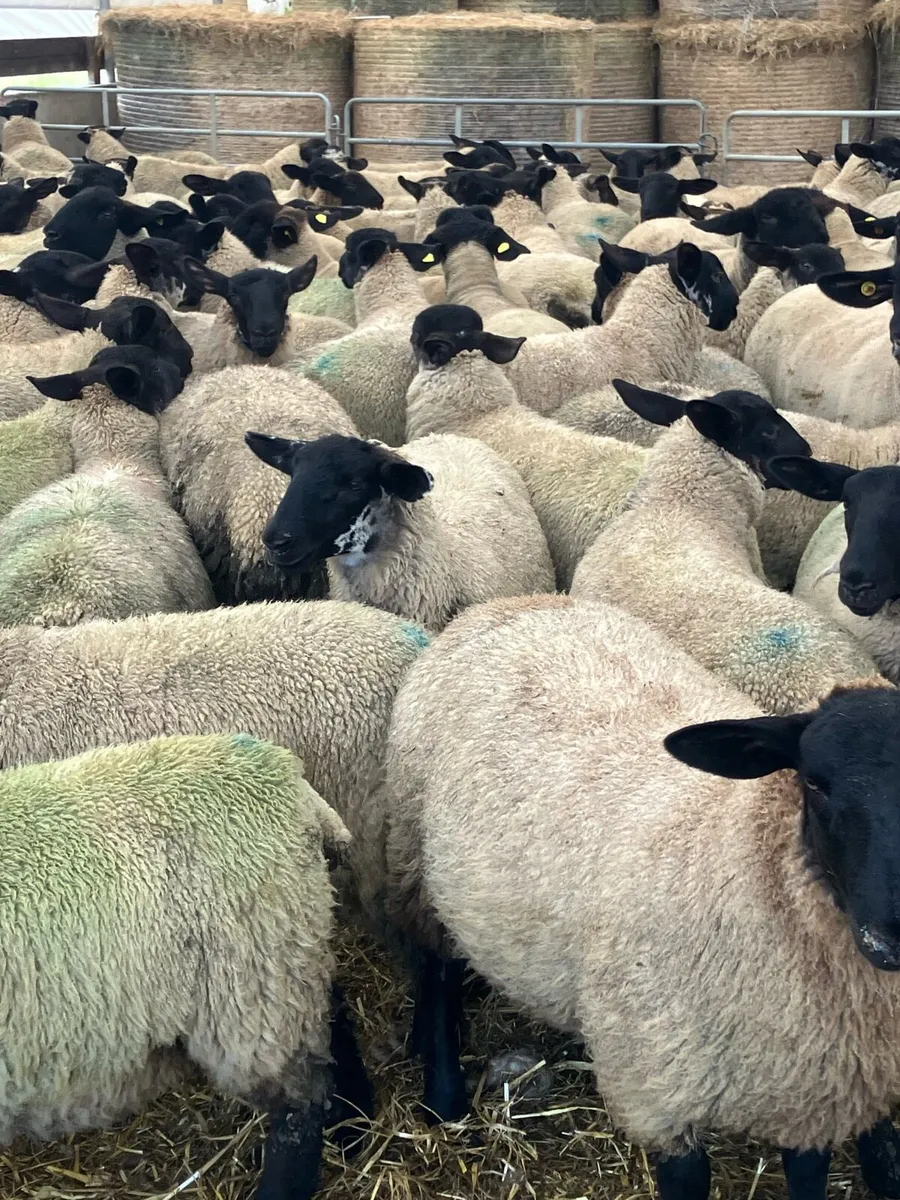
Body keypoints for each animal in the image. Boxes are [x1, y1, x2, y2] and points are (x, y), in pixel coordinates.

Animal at [381, 591, 900, 1200]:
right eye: (813, 781)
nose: (891, 935)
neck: (739, 850)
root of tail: (507, 604)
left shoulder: (815, 1096)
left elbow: (809, 1173)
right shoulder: (656, 1086)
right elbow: (687, 1176)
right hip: (414, 852)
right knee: (434, 966)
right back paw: (443, 1097)